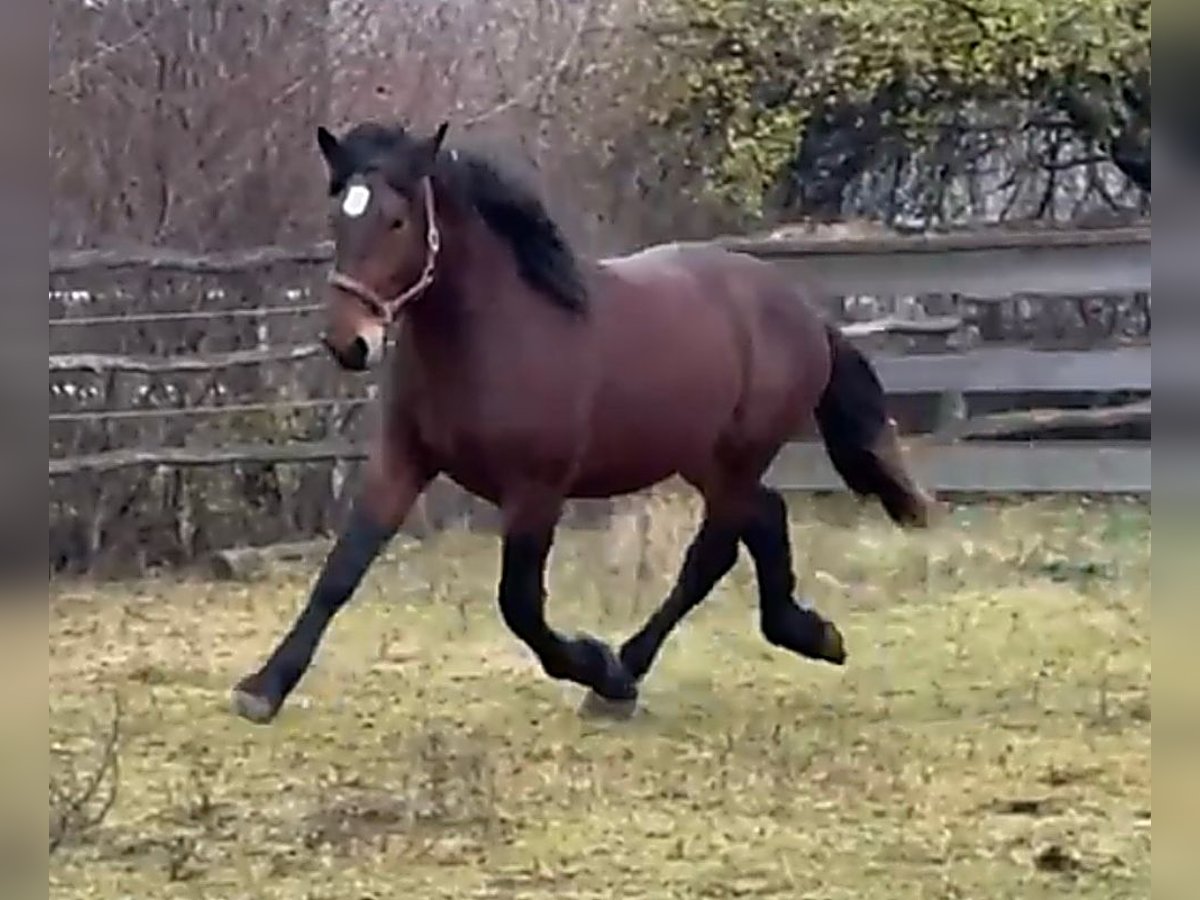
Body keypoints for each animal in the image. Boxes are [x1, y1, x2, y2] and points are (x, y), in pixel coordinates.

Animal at [231, 120, 935, 725]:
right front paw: (263, 689)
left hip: (739, 453)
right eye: (337, 216)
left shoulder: (536, 490)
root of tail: (802, 310)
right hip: (702, 457)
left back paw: (624, 677)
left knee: (711, 553)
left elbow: (519, 607)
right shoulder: (403, 460)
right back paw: (809, 634)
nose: (348, 343)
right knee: (763, 520)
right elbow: (341, 571)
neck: (495, 333)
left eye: (397, 219)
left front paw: (594, 664)